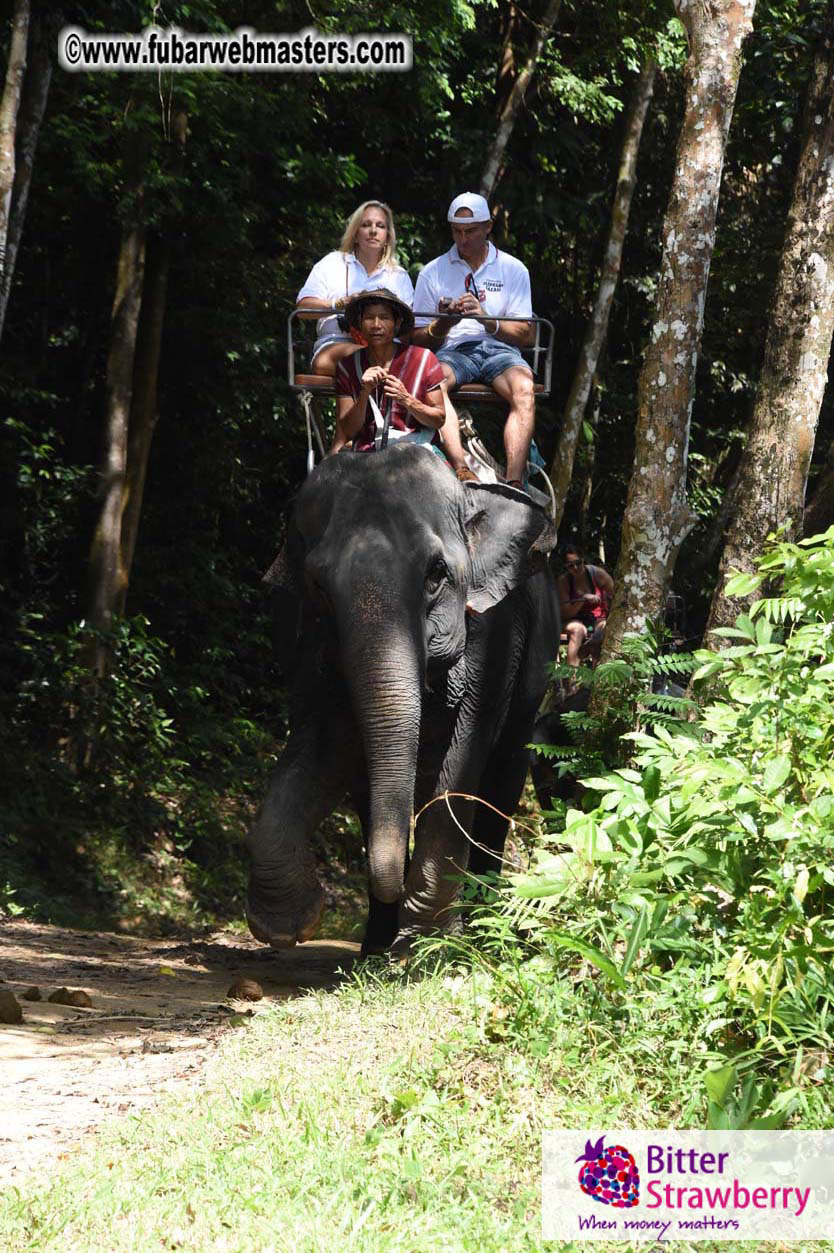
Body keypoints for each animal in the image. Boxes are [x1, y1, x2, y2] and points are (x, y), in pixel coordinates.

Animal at [247, 442, 560, 955]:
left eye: (436, 575)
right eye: (319, 589)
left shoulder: (497, 636)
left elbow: (463, 762)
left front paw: (430, 950)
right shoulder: (309, 644)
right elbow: (324, 745)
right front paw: (288, 926)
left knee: (502, 780)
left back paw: (483, 936)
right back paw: (375, 950)